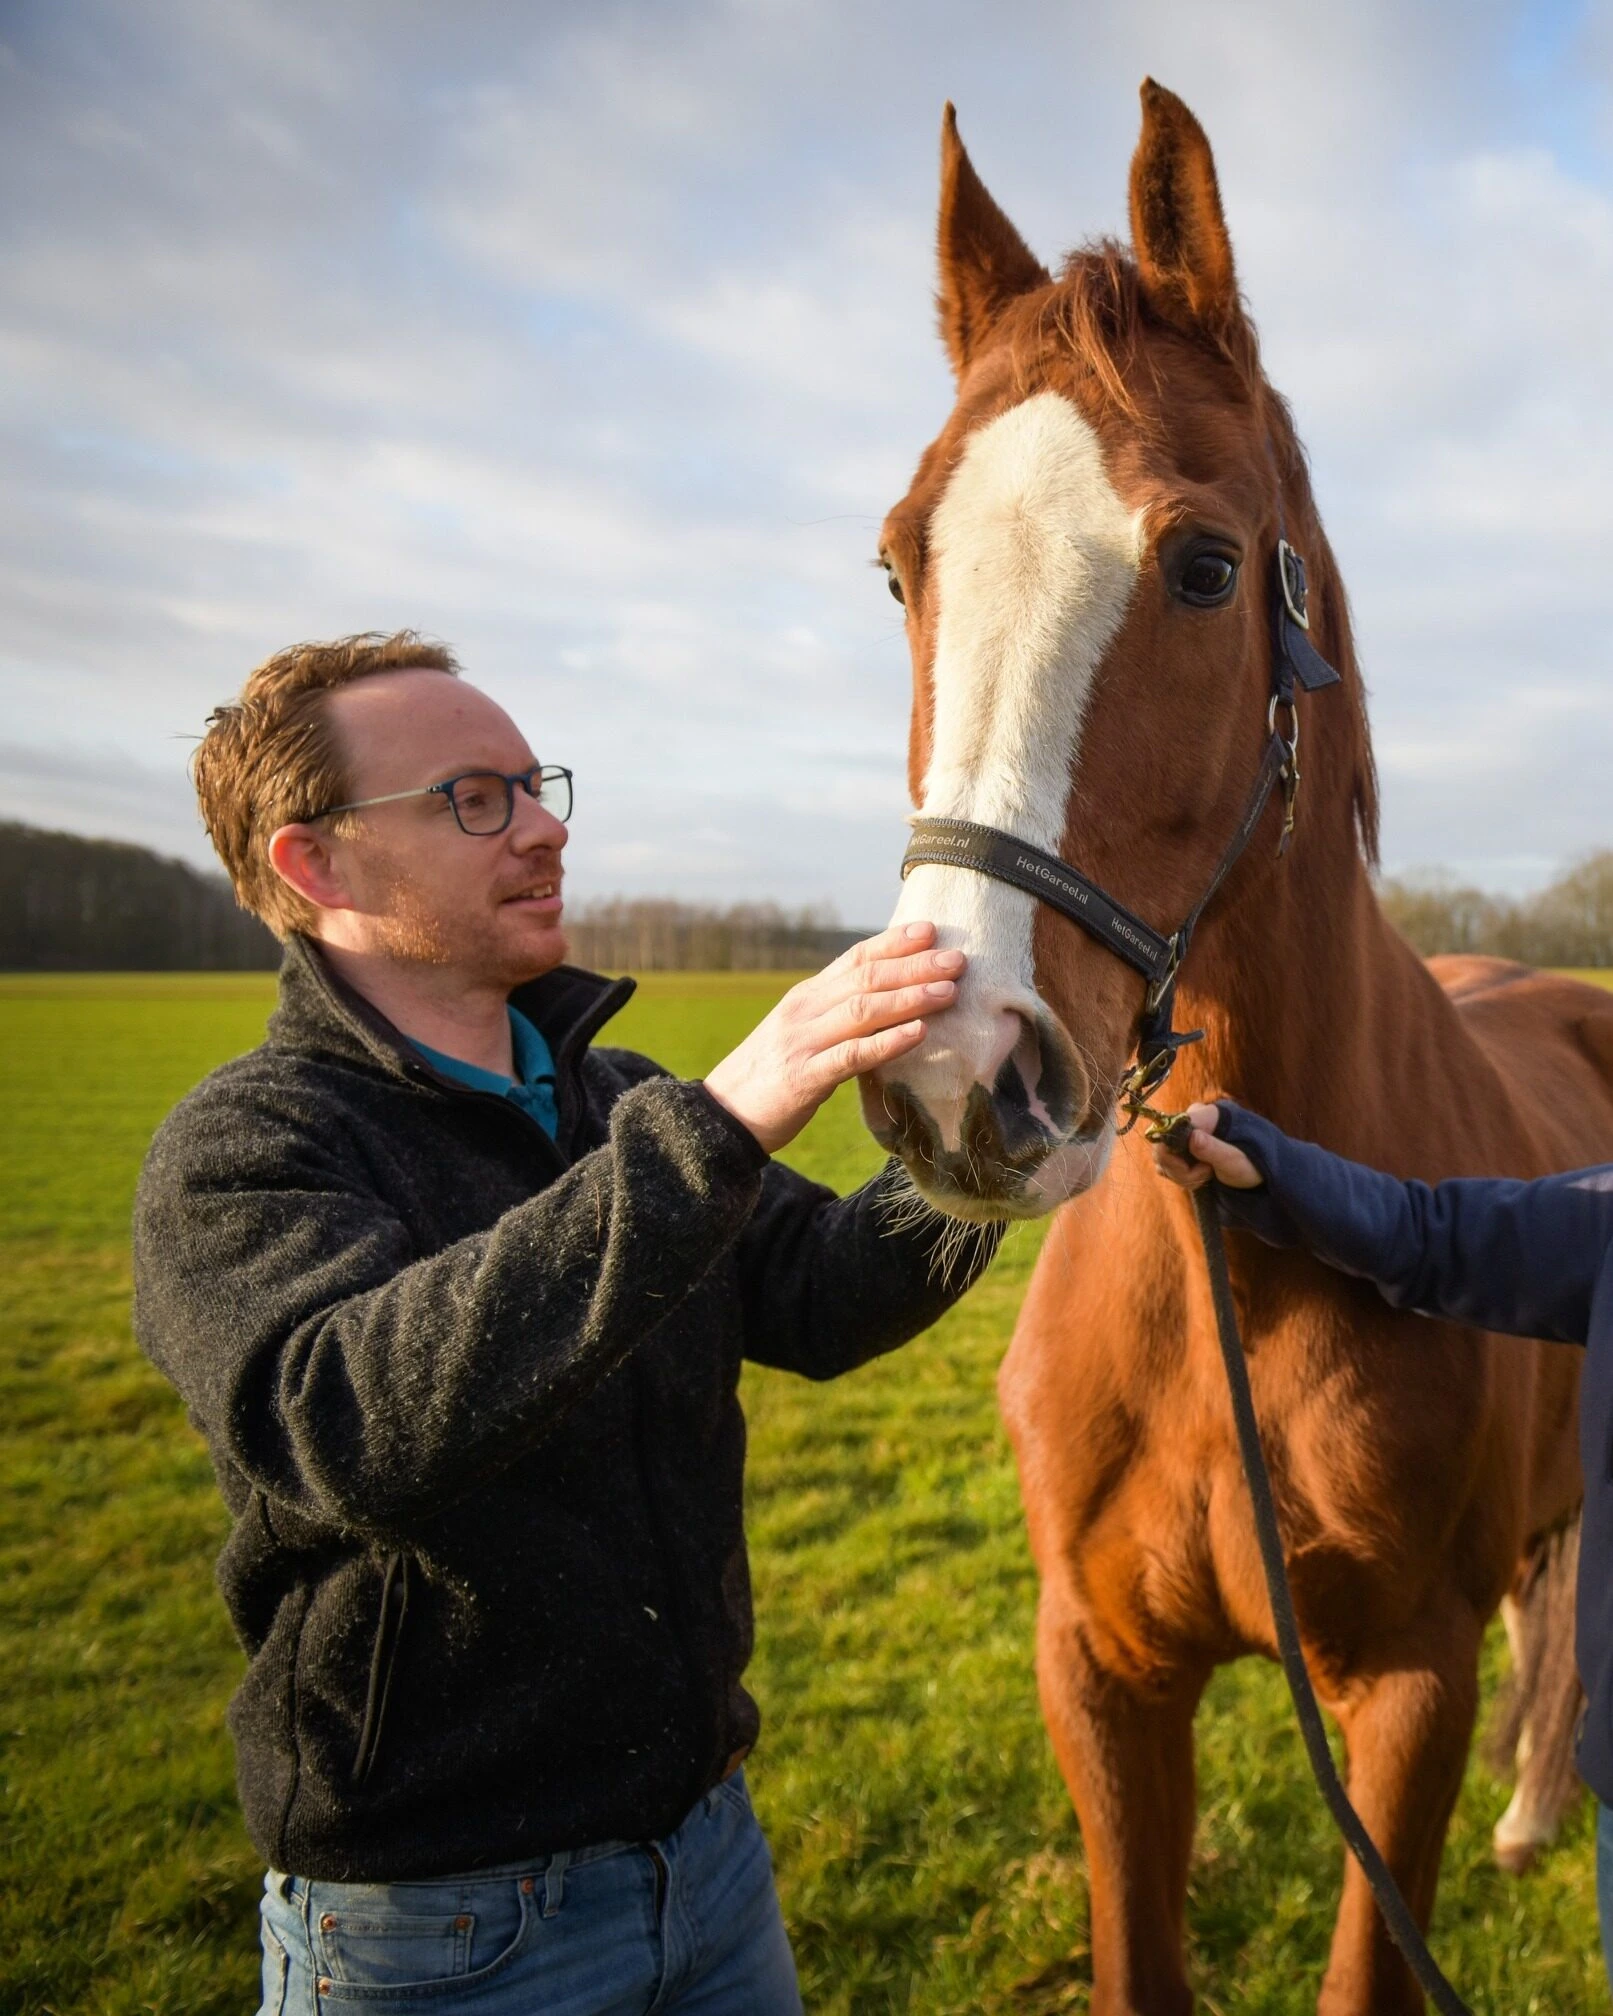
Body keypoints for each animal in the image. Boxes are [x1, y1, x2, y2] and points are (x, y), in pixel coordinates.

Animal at [860, 79, 1613, 2015]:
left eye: (1203, 567)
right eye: (897, 563)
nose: (956, 1075)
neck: (1230, 1291)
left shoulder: (1406, 1696)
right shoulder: (1101, 1675)